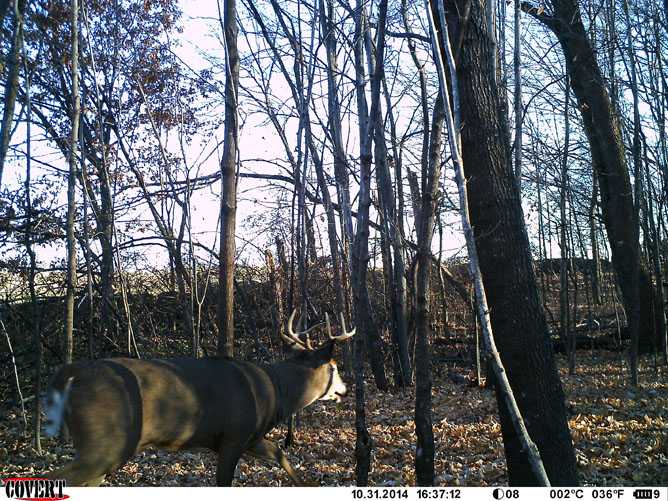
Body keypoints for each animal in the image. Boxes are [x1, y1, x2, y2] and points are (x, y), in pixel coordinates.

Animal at [43, 310, 354, 486]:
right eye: (335, 366)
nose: (345, 388)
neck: (275, 392)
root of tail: (75, 373)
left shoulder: (249, 437)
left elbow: (281, 455)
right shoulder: (233, 437)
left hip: (103, 450)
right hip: (106, 442)